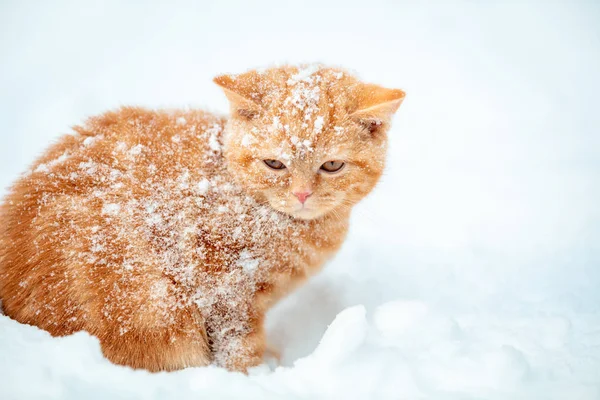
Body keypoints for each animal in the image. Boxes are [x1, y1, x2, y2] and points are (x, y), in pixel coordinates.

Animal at [0, 63, 406, 372]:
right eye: (274, 164)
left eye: (332, 165)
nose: (302, 194)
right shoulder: (225, 287)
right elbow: (238, 345)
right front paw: (251, 377)